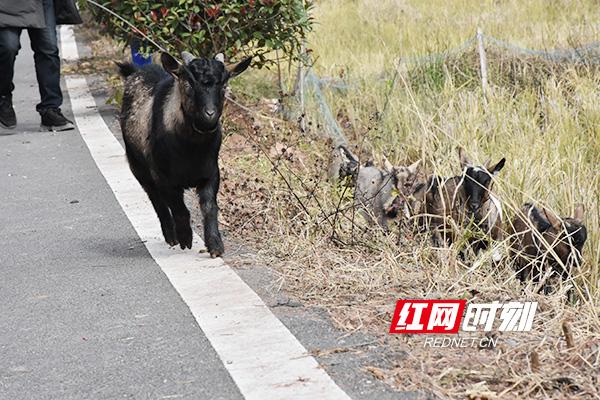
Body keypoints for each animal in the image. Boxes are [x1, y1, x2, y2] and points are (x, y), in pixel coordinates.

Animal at [117, 51, 251, 256]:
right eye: (188, 83)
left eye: (224, 85)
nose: (210, 114)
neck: (191, 148)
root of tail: (135, 72)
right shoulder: (163, 178)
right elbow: (179, 209)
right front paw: (185, 238)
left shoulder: (211, 173)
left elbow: (210, 207)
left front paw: (215, 245)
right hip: (138, 167)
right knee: (156, 200)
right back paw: (171, 236)